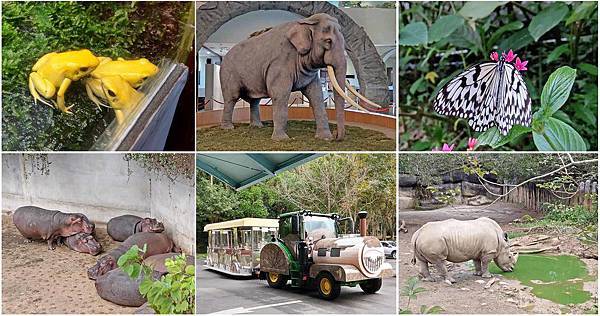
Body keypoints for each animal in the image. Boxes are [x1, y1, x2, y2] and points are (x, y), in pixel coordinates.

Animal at [221, 12, 360, 141]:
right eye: (328, 41)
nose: (336, 135)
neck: (306, 21)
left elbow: (317, 95)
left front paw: (325, 138)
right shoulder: (279, 63)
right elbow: (280, 95)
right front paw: (281, 139)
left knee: (255, 100)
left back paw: (257, 126)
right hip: (228, 73)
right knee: (231, 98)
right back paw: (228, 128)